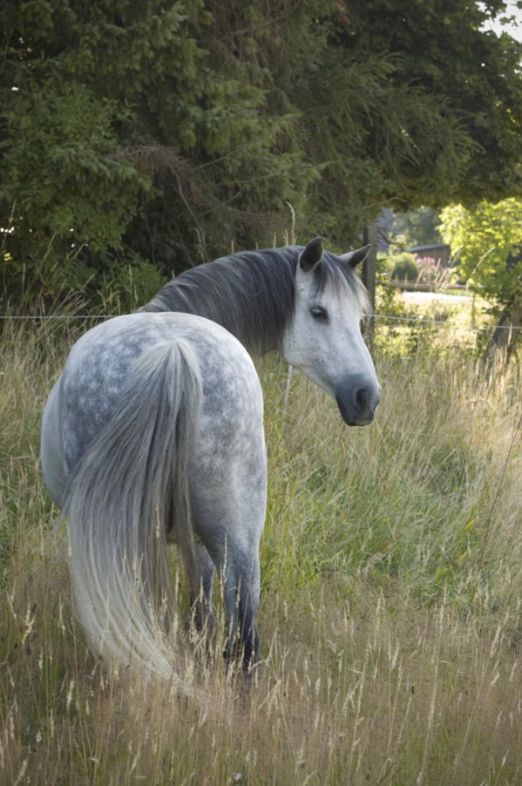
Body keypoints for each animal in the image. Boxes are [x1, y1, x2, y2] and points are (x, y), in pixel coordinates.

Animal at [40, 237, 380, 690]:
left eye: (359, 319)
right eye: (319, 313)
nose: (366, 397)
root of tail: (173, 352)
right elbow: (204, 618)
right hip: (239, 539)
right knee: (244, 642)